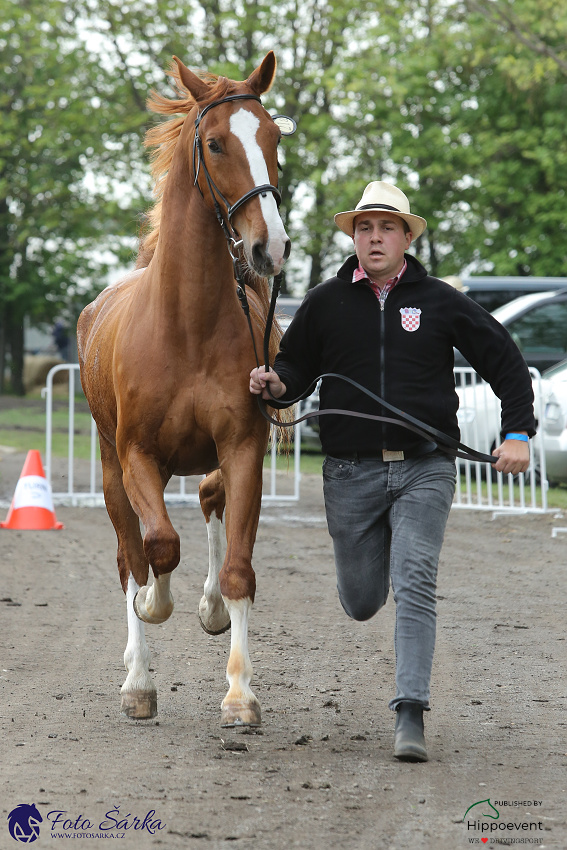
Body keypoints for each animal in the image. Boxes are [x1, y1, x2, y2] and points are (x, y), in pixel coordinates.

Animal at [77, 49, 290, 724]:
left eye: (273, 138)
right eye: (216, 143)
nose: (271, 247)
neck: (186, 326)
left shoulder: (243, 449)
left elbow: (239, 569)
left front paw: (240, 693)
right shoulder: (137, 457)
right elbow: (158, 549)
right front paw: (151, 611)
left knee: (208, 501)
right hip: (111, 467)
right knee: (131, 553)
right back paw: (138, 676)